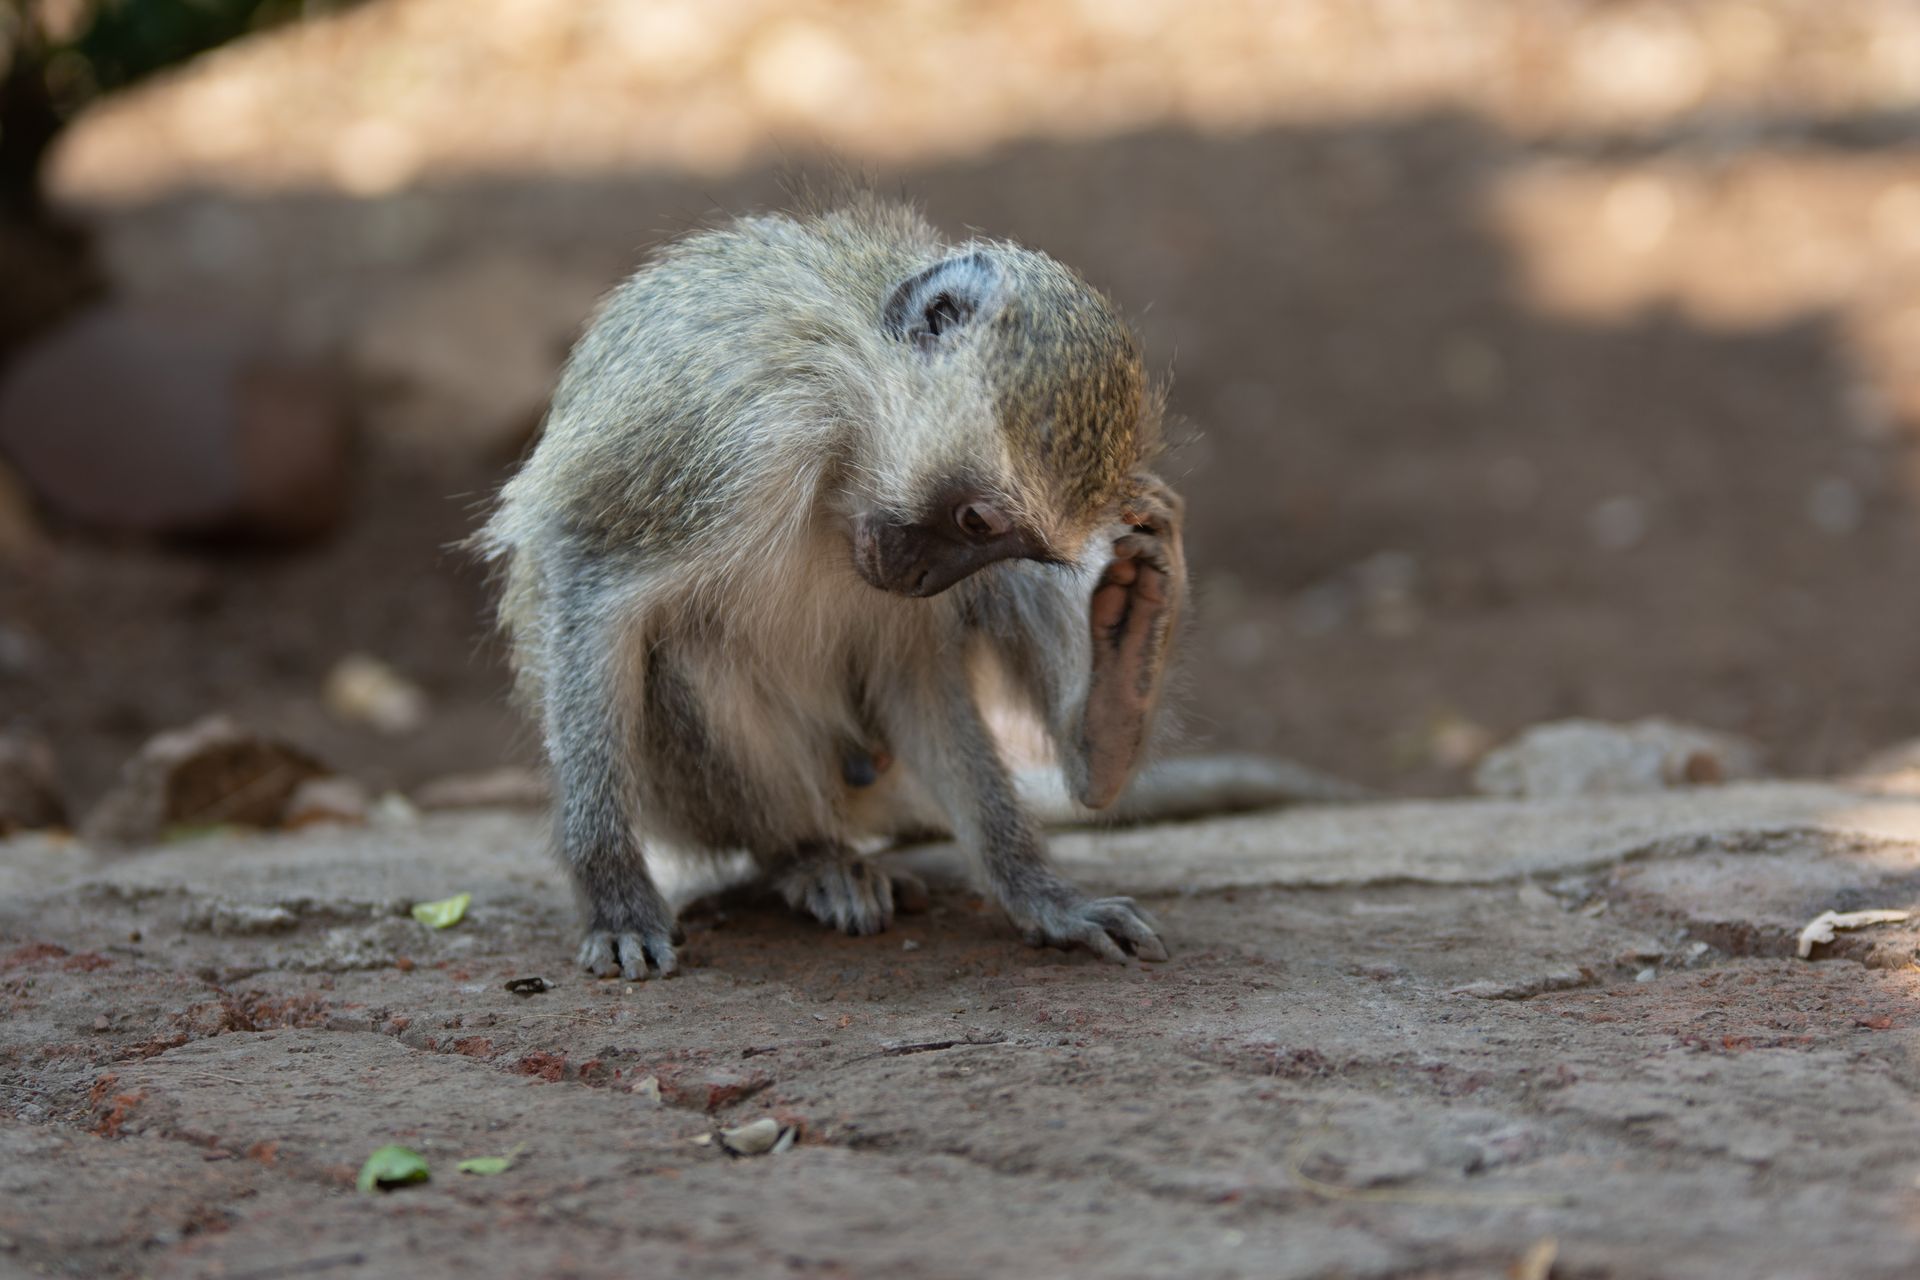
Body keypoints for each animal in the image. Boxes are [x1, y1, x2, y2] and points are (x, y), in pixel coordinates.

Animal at [475, 196, 1187, 980]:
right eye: (976, 521)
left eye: (1012, 544)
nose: (924, 579)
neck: (847, 423)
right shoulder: (725, 434)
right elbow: (589, 572)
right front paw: (615, 897)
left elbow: (919, 680)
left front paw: (1037, 891)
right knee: (691, 656)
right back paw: (809, 855)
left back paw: (1112, 714)